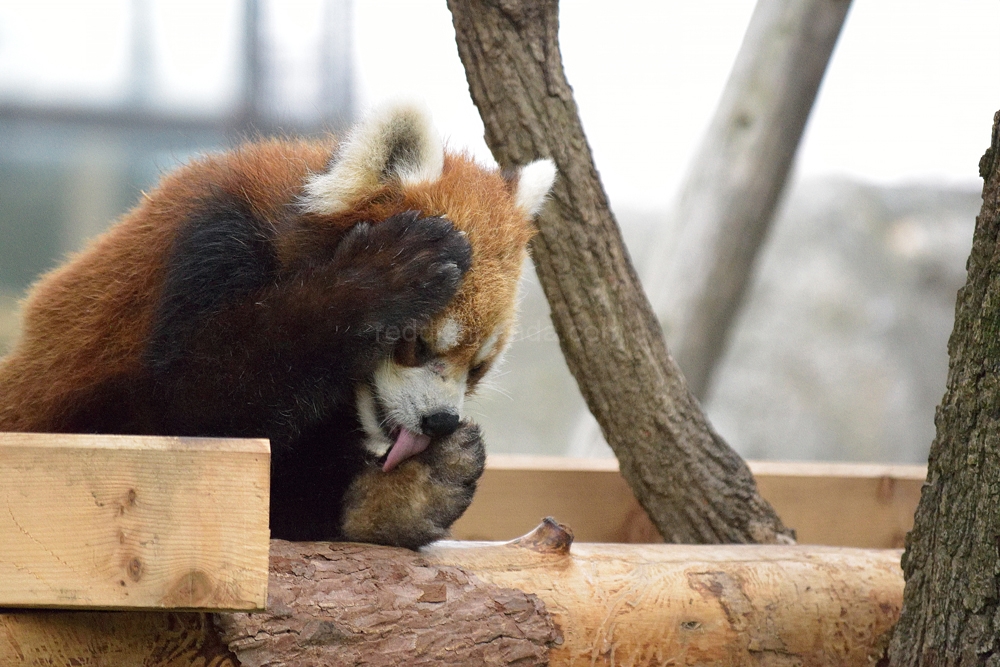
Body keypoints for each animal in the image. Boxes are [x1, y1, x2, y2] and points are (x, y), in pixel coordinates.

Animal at [0, 100, 556, 548]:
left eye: (478, 368)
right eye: (415, 345)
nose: (440, 421)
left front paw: (401, 492)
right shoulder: (208, 250)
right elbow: (188, 408)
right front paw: (377, 281)